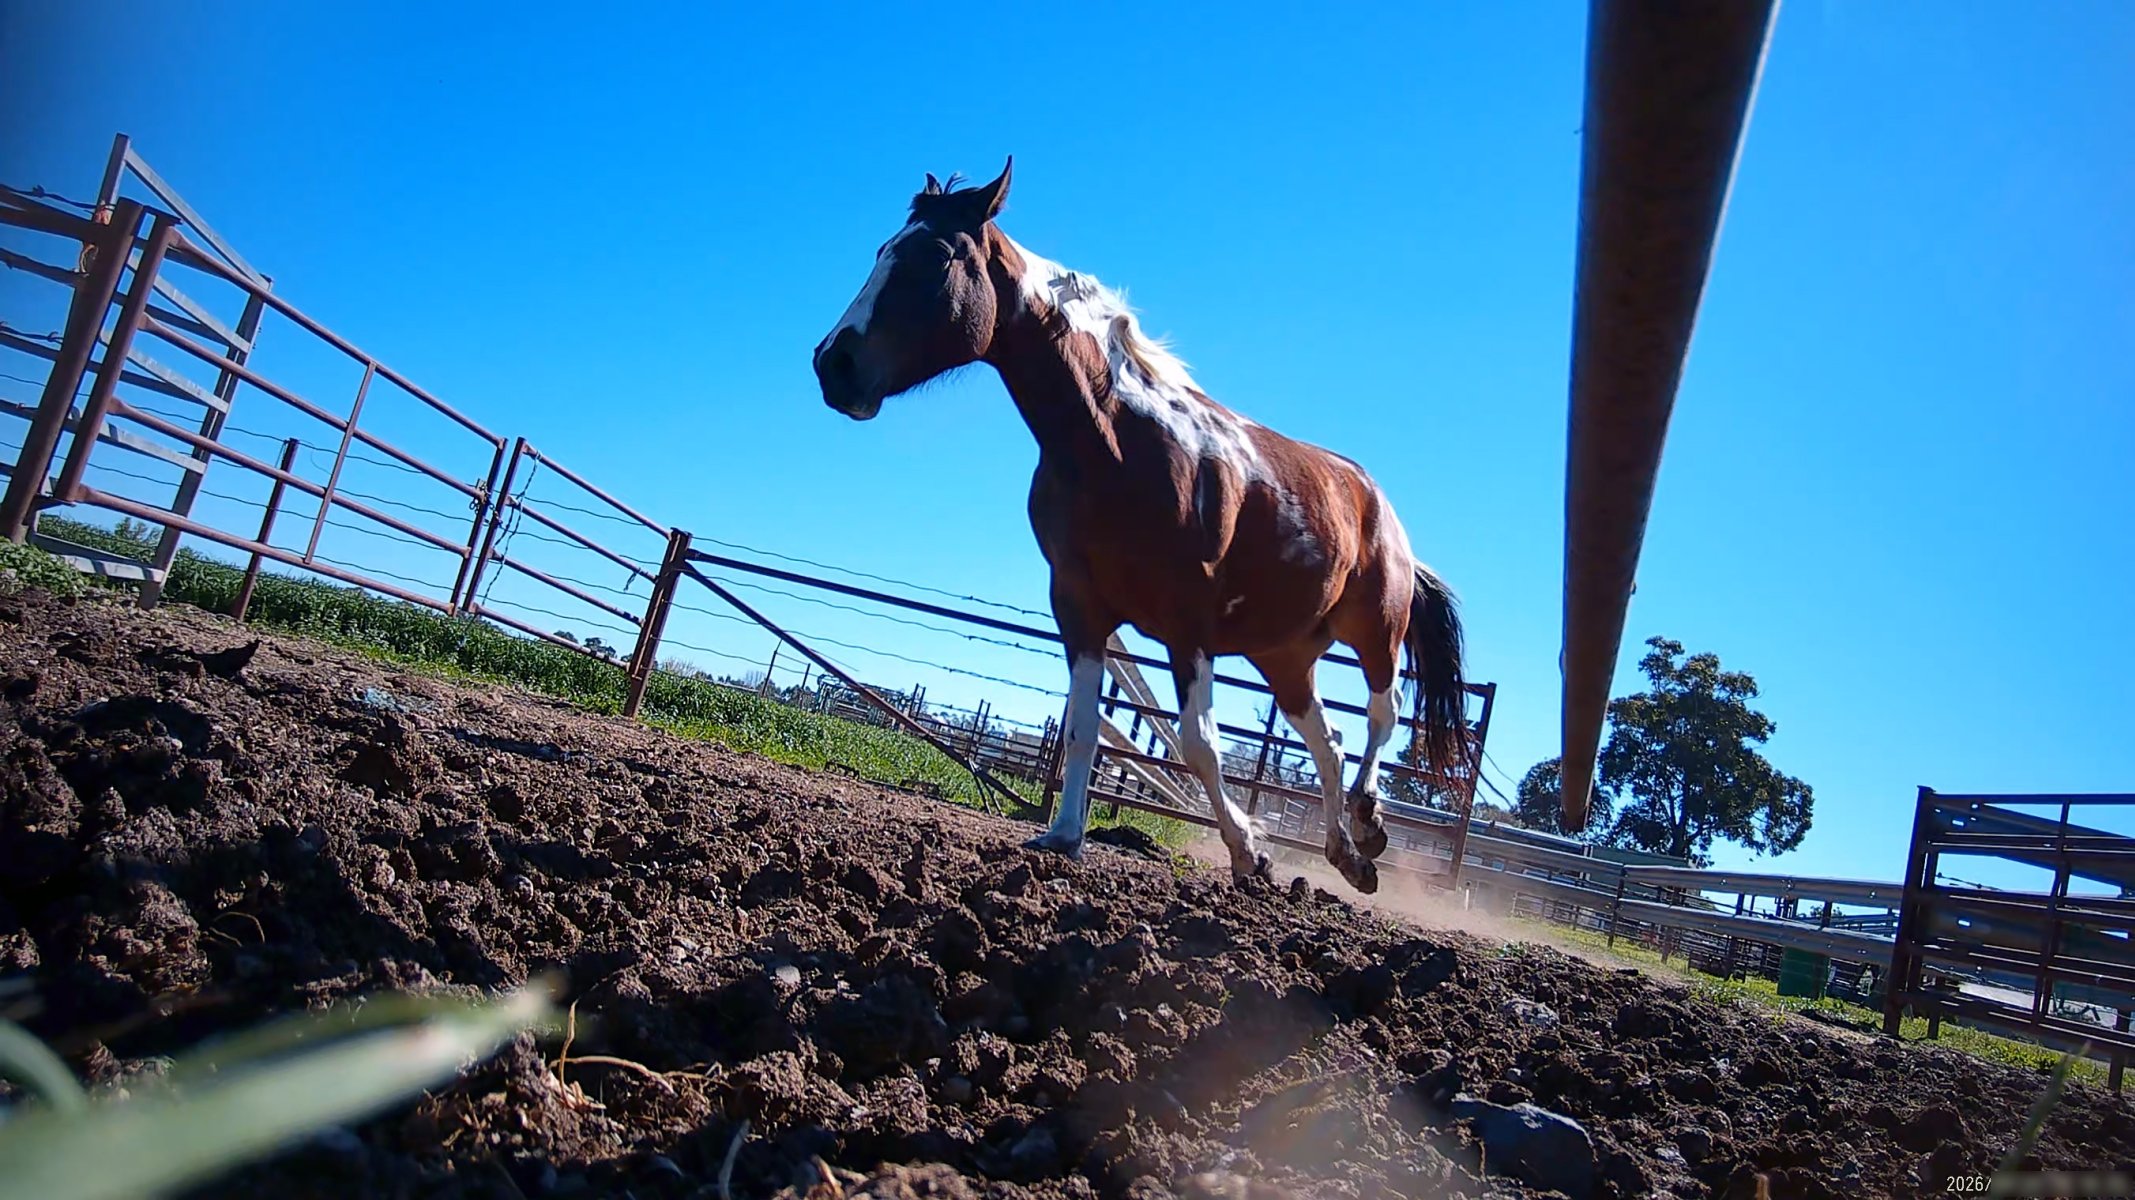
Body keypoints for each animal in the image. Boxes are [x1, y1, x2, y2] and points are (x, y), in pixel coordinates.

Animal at [810, 160, 1470, 895]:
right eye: (882, 251)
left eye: (936, 255)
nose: (833, 365)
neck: (1117, 446)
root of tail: (1378, 503)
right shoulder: (1078, 605)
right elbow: (1083, 730)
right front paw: (1063, 836)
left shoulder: (1188, 624)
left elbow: (1199, 744)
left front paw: (1251, 851)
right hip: (1285, 654)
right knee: (1328, 739)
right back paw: (1346, 855)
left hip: (1374, 630)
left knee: (1382, 715)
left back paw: (1369, 819)